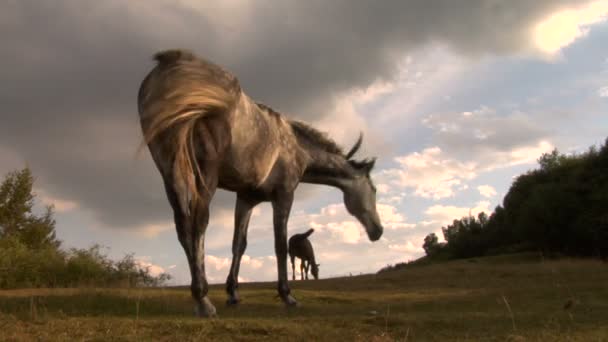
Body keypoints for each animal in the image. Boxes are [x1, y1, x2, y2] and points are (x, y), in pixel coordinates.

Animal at [138, 50, 384, 318]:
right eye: (374, 190)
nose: (378, 231)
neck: (297, 147)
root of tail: (171, 65)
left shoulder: (246, 198)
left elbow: (239, 244)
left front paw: (233, 293)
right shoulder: (284, 195)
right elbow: (279, 245)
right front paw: (287, 295)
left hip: (170, 172)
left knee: (183, 225)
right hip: (205, 176)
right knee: (199, 223)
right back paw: (203, 300)